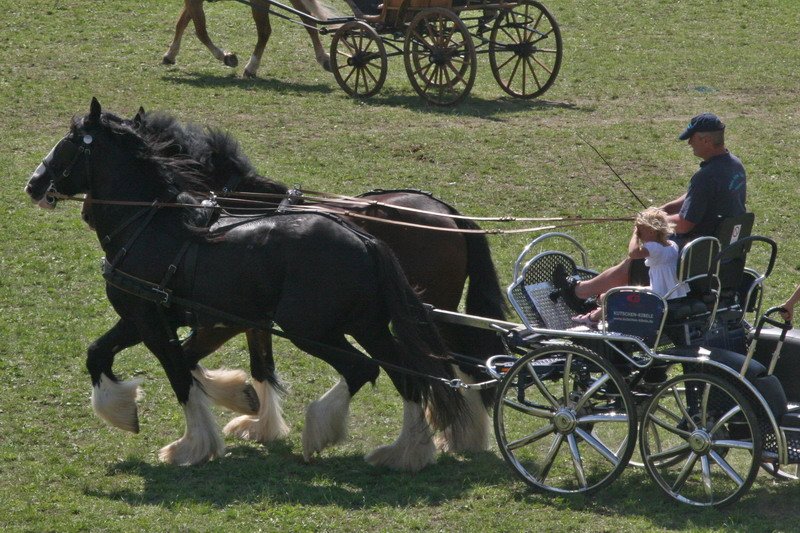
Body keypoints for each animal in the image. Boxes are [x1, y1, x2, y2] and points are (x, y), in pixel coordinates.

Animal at [25, 98, 467, 471]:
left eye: (68, 144)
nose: (34, 184)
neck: (149, 224)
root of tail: (365, 239)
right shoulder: (144, 316)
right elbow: (101, 354)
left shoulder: (154, 320)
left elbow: (179, 373)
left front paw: (192, 445)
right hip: (369, 325)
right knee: (410, 376)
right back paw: (407, 451)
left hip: (310, 328)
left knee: (363, 369)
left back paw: (321, 432)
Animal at [162, 0, 334, 77]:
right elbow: (181, 24)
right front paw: (170, 54)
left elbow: (200, 31)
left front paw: (226, 56)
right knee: (309, 22)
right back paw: (324, 59)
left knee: (265, 31)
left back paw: (252, 66)